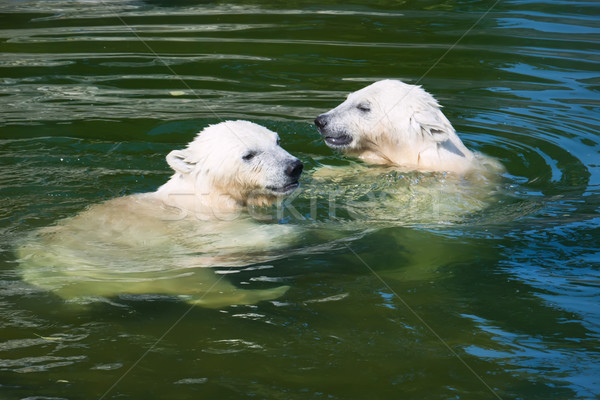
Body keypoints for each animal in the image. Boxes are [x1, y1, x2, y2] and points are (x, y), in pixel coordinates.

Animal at [17, 120, 304, 308]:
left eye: (277, 141)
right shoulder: (200, 228)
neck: (206, 196)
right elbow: (246, 240)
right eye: (248, 154)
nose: (294, 167)